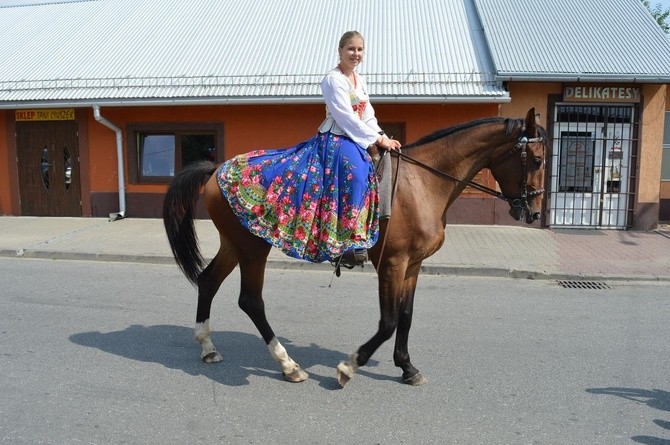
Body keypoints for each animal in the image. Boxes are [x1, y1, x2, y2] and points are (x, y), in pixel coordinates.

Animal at [165, 106, 548, 386]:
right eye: (538, 160)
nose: (534, 212)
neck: (423, 183)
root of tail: (217, 169)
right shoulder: (392, 263)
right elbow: (388, 322)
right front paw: (349, 366)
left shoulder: (413, 265)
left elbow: (406, 316)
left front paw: (407, 367)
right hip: (254, 248)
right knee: (251, 301)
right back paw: (288, 365)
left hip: (235, 244)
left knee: (208, 282)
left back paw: (208, 347)